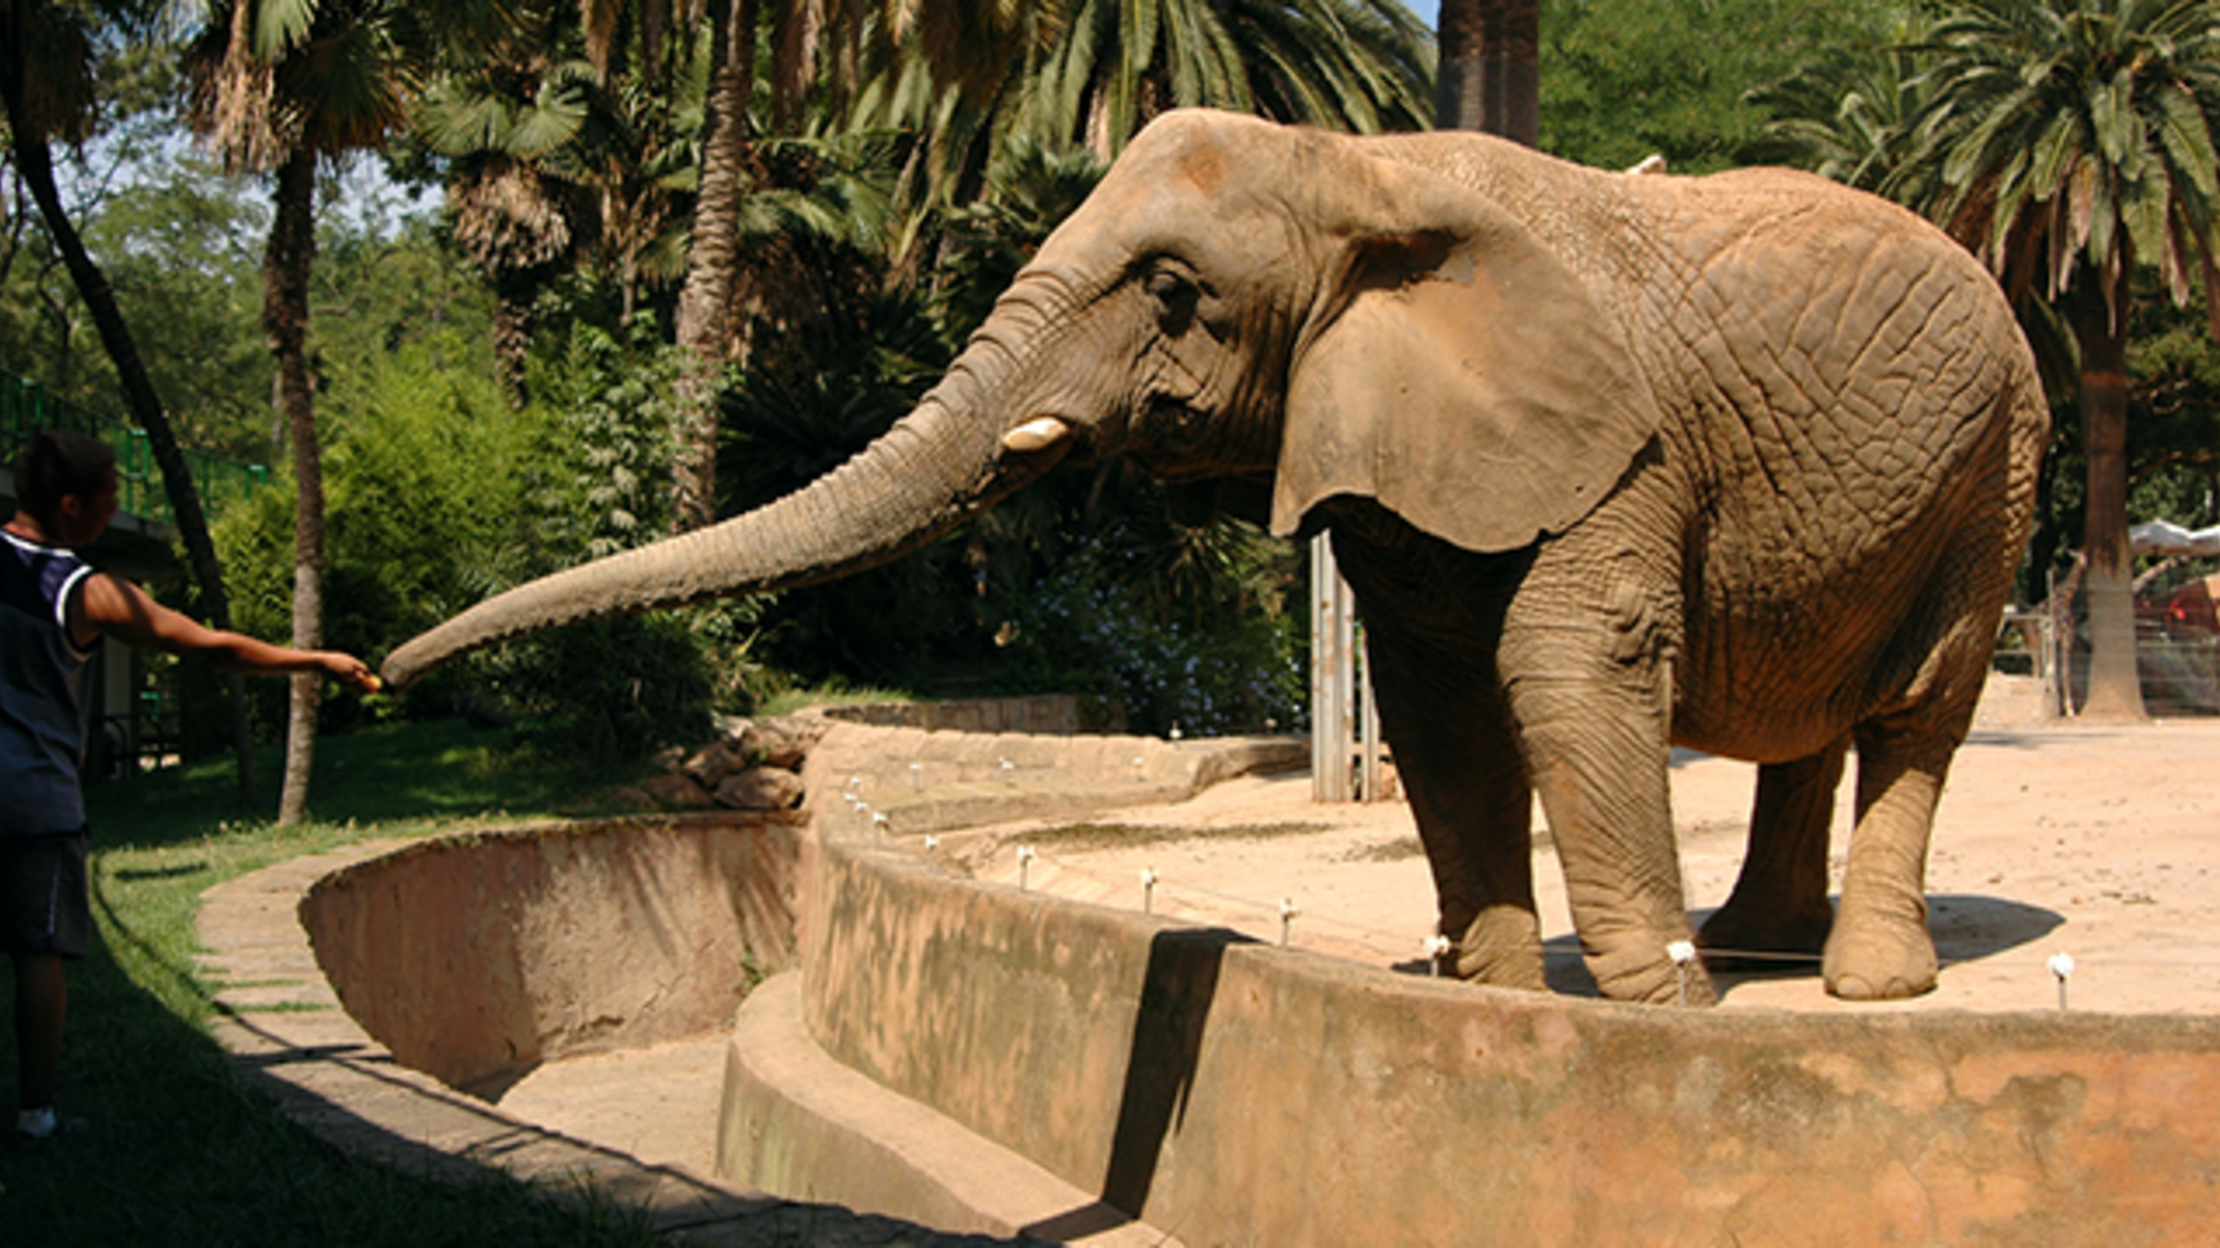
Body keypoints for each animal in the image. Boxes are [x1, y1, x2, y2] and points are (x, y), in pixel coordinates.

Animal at [383, 109, 2047, 1006]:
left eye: (1176, 296)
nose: (387, 680)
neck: (1362, 173)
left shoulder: (1619, 448)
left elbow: (1566, 664)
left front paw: (1656, 1018)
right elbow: (1441, 700)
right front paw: (1509, 995)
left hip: (1999, 471)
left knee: (1922, 705)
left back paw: (1853, 985)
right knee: (1812, 715)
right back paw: (1761, 958)